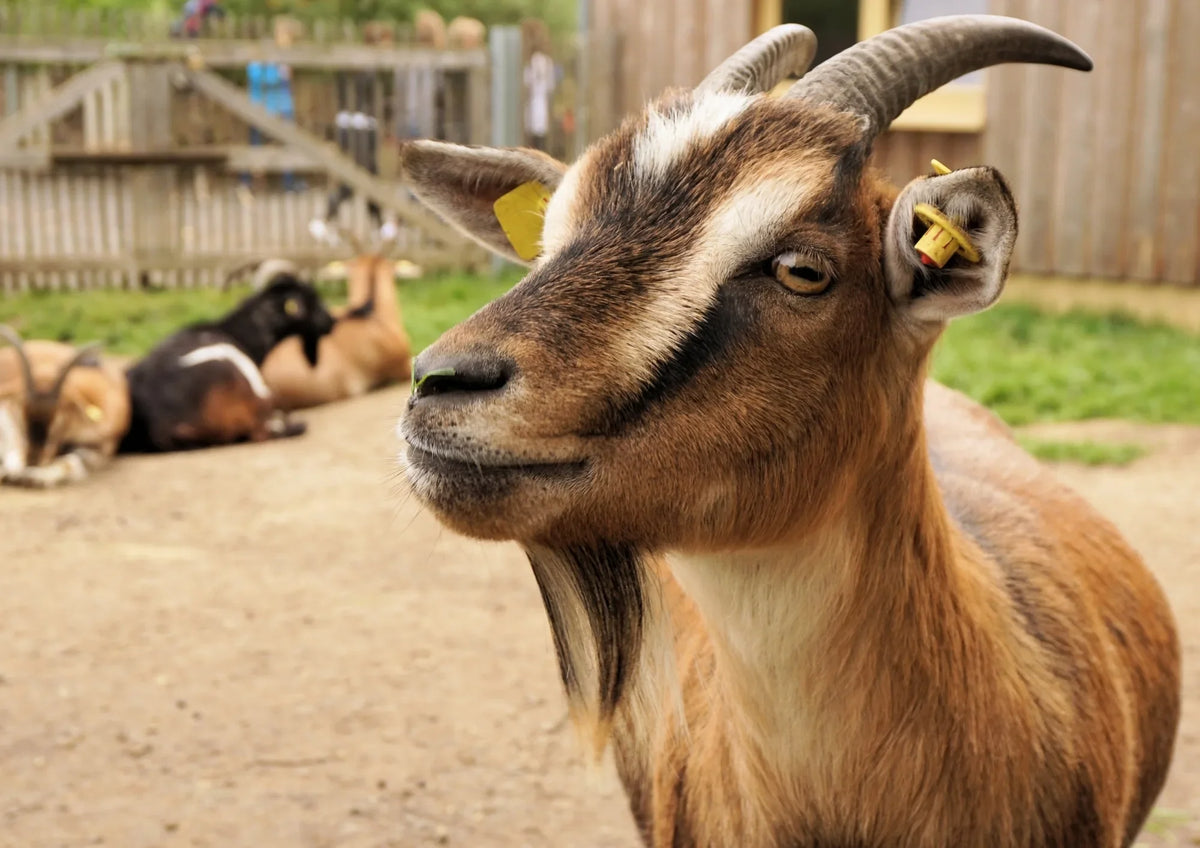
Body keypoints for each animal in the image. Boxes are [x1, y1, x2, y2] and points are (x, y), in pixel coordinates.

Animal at [0, 327, 131, 488]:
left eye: (58, 421)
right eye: (23, 415)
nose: (33, 461)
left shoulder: (101, 450)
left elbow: (71, 462)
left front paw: (33, 477)